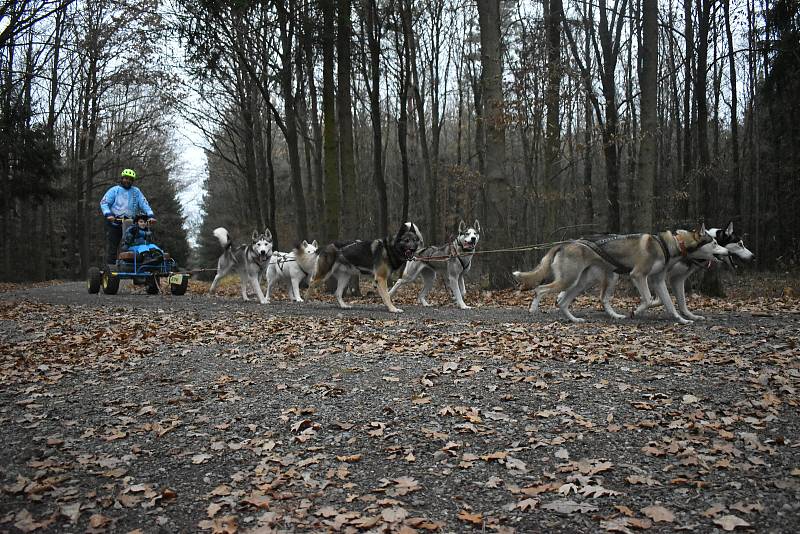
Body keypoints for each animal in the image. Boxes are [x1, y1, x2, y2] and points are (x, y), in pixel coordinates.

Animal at [516, 227, 716, 326]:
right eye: (714, 243)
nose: (722, 250)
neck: (669, 244)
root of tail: (564, 244)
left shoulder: (658, 281)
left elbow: (669, 304)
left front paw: (682, 319)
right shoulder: (638, 275)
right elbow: (648, 299)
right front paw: (636, 311)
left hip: (581, 283)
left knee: (563, 302)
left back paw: (574, 319)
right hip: (569, 280)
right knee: (540, 289)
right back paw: (533, 308)